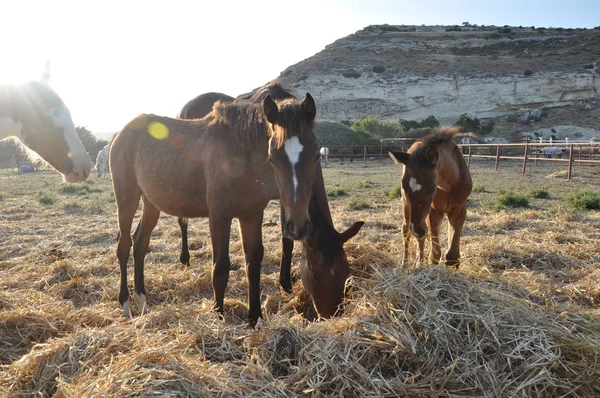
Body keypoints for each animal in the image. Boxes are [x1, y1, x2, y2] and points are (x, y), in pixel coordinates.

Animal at [109, 90, 322, 324]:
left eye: (316, 156)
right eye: (272, 158)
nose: (298, 227)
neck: (242, 157)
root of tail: (122, 132)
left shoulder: (251, 215)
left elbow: (253, 264)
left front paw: (254, 318)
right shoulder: (219, 216)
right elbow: (220, 268)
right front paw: (218, 316)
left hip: (151, 203)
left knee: (140, 243)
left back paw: (142, 301)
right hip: (127, 198)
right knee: (124, 245)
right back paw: (125, 304)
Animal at [175, 82, 366, 318]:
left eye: (345, 271)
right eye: (315, 273)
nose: (331, 314)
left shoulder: (290, 204)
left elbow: (287, 240)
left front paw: (286, 284)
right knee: (183, 220)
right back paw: (185, 257)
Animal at [390, 127, 474, 268]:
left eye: (432, 187)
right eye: (404, 186)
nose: (417, 228)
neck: (450, 185)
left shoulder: (459, 209)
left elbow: (452, 255)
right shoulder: (434, 211)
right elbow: (434, 254)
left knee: (420, 235)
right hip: (408, 207)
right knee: (407, 229)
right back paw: (406, 264)